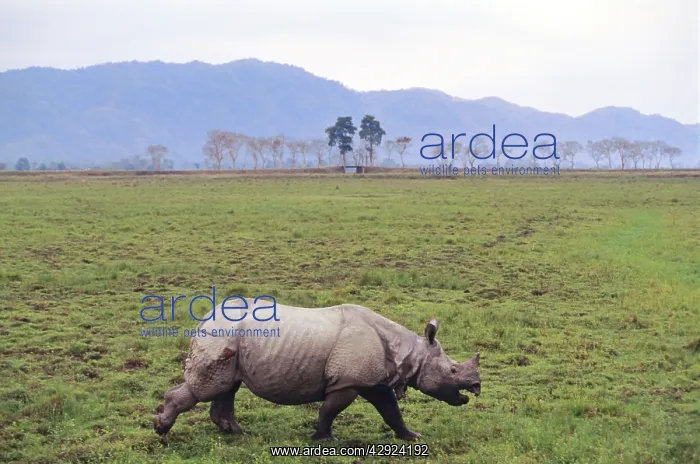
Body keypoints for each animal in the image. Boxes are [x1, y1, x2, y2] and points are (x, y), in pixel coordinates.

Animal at [154, 298, 481, 441]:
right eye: (453, 372)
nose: (476, 387)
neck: (410, 352)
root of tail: (207, 317)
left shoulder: (373, 380)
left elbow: (391, 412)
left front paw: (412, 437)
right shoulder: (348, 381)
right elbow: (329, 410)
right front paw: (325, 439)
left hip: (229, 339)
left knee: (227, 387)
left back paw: (237, 434)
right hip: (220, 335)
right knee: (208, 388)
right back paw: (161, 429)